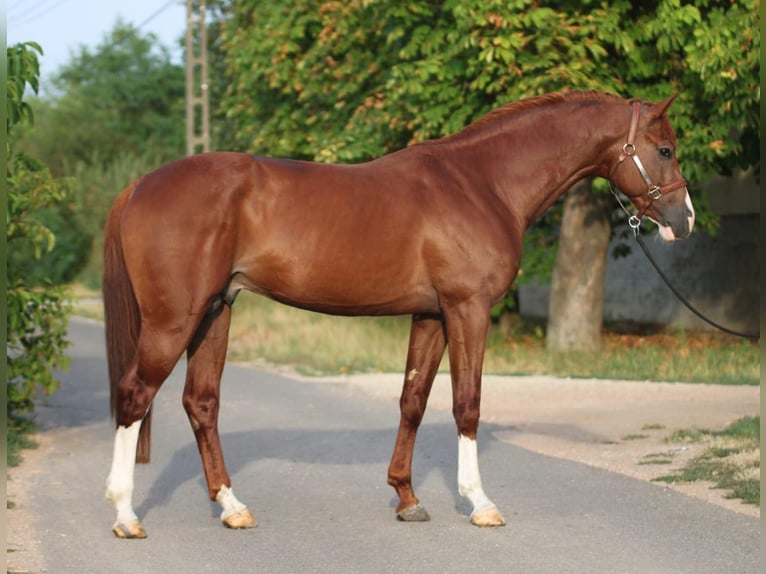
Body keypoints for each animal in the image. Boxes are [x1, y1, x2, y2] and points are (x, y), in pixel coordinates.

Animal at [103, 91, 696, 540]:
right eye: (664, 148)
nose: (683, 219)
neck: (481, 183)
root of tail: (140, 185)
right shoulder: (467, 308)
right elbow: (466, 403)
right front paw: (480, 503)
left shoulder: (431, 316)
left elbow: (413, 401)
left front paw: (407, 498)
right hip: (174, 320)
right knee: (135, 395)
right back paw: (126, 514)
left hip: (215, 313)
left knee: (200, 403)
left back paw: (232, 507)